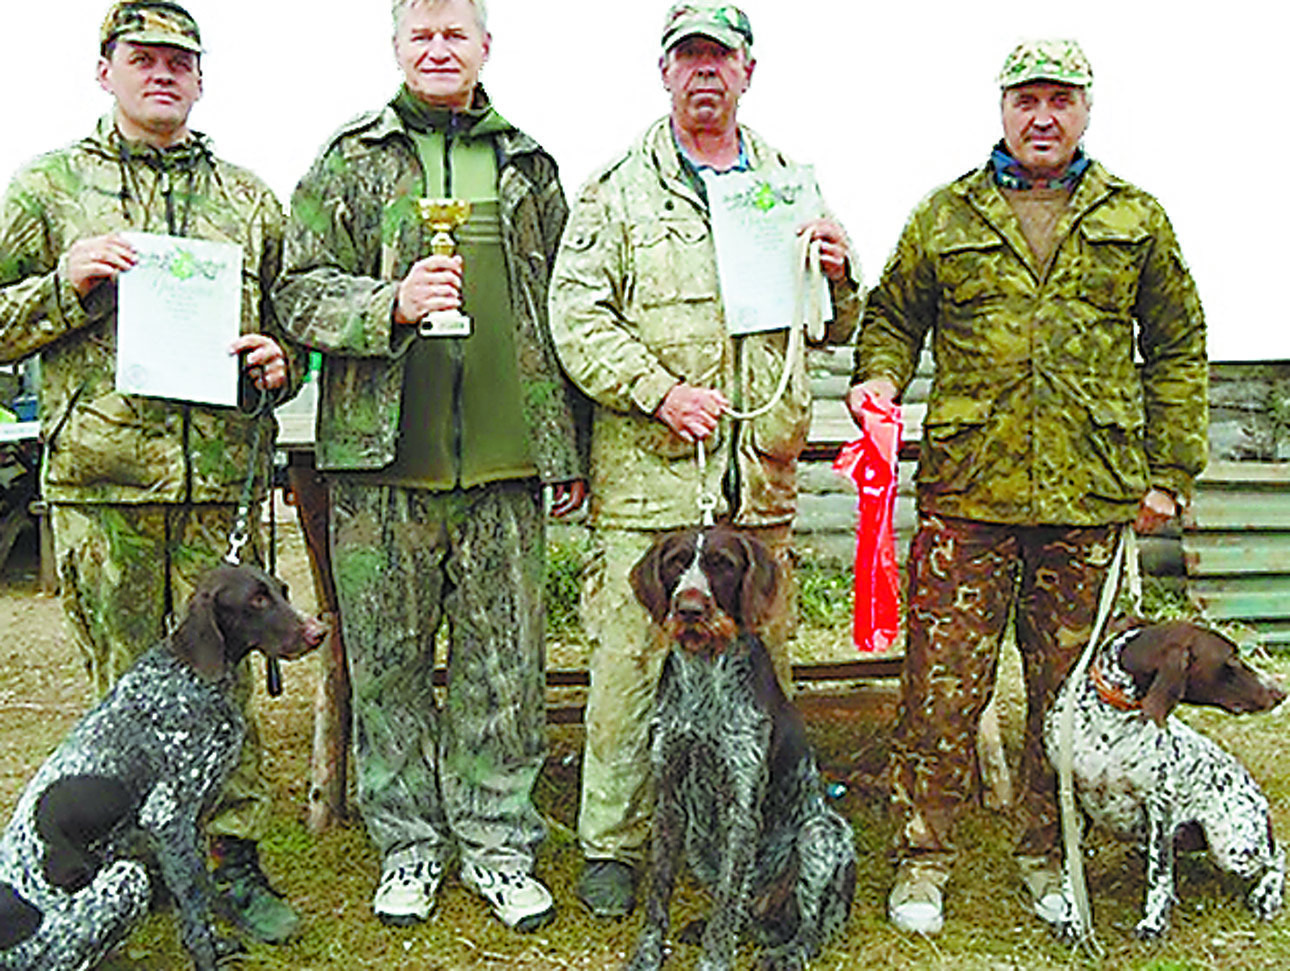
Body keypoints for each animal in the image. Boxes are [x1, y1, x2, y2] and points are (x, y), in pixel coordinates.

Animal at [626, 526, 856, 969]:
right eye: (676, 563)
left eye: (724, 565)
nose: (690, 609)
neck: (704, 675)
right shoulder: (669, 801)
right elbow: (659, 890)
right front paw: (647, 952)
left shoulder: (741, 808)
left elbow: (727, 903)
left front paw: (714, 961)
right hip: (699, 846)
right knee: (746, 912)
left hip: (821, 835)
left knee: (810, 927)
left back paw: (788, 953)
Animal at [1042, 621, 1284, 938]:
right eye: (1231, 659)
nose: (1279, 693)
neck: (1108, 722)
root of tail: (1259, 798)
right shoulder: (1071, 798)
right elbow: (1071, 870)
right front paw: (1073, 919)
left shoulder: (1160, 806)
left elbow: (1159, 874)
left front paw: (1153, 923)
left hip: (1232, 848)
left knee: (1279, 855)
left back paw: (1267, 895)